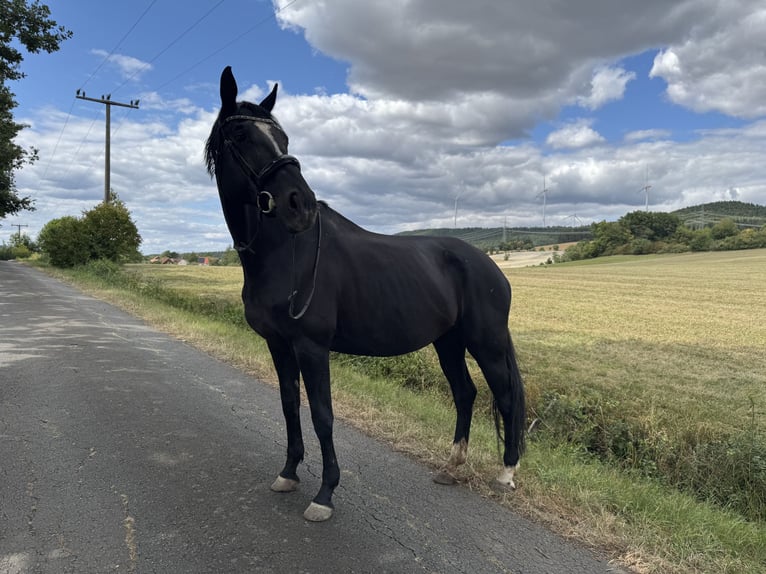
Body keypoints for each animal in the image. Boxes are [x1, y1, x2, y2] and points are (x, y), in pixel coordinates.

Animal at [205, 66, 526, 522]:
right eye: (241, 135)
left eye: (283, 139)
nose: (300, 205)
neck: (284, 253)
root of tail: (490, 266)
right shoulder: (279, 345)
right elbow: (289, 405)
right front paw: (288, 473)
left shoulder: (311, 346)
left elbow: (323, 415)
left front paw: (325, 493)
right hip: (448, 342)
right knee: (465, 394)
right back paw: (451, 467)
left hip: (487, 343)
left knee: (506, 398)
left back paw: (505, 475)